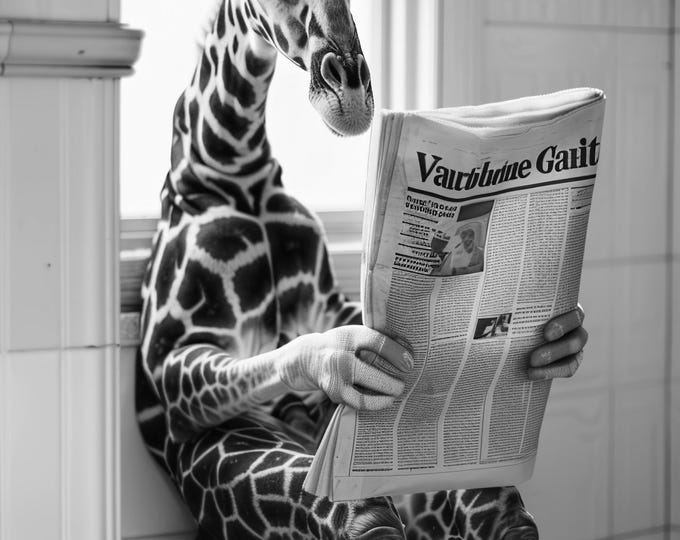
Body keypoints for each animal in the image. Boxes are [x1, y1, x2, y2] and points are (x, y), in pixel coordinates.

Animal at [135, 1, 586, 538]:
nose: (350, 96)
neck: (232, 167)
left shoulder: (329, 303)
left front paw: (565, 339)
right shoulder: (171, 353)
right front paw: (333, 359)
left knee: (503, 513)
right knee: (368, 518)